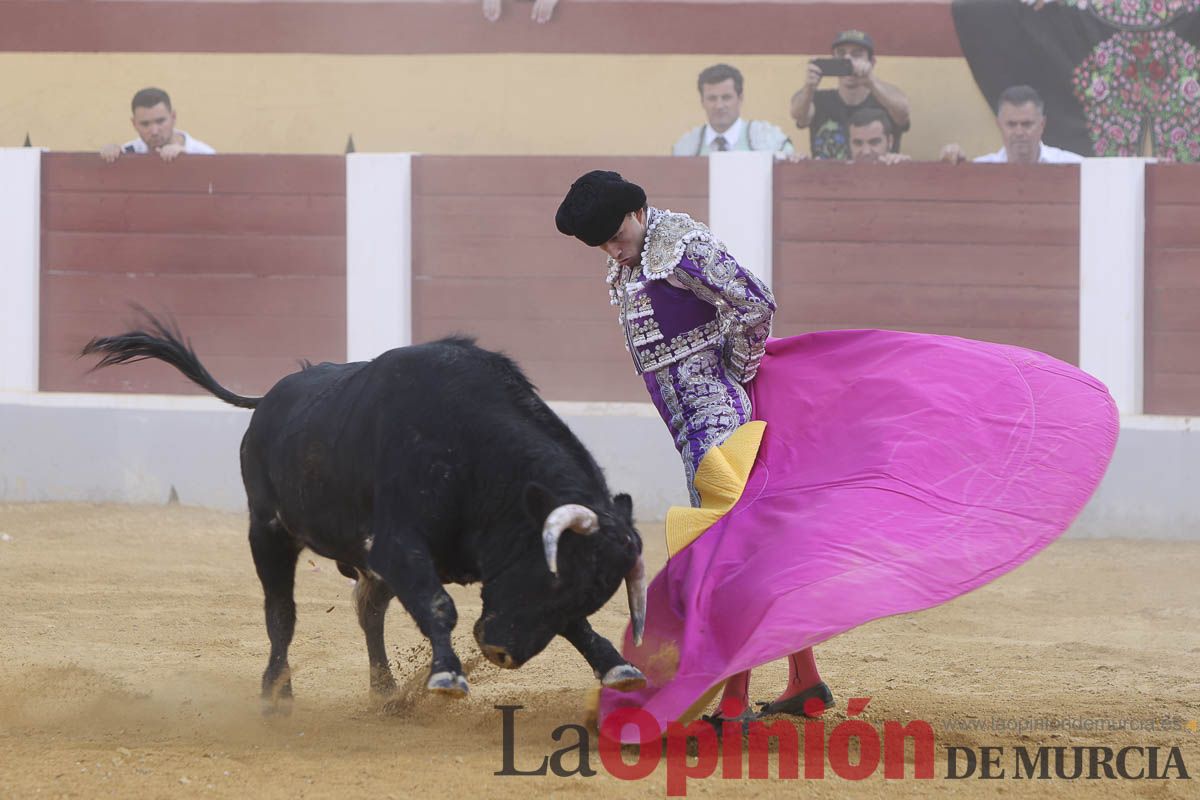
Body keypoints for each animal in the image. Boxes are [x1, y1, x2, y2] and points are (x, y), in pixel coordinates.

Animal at [83, 314, 648, 714]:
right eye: (553, 579)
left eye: (588, 593)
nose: (499, 652)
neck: (472, 450)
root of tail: (267, 399)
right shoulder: (398, 546)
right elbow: (438, 605)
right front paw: (447, 676)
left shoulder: (399, 558)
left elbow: (571, 626)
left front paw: (617, 667)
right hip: (268, 531)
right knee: (281, 615)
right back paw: (277, 694)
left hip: (355, 559)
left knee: (367, 611)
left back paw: (385, 691)